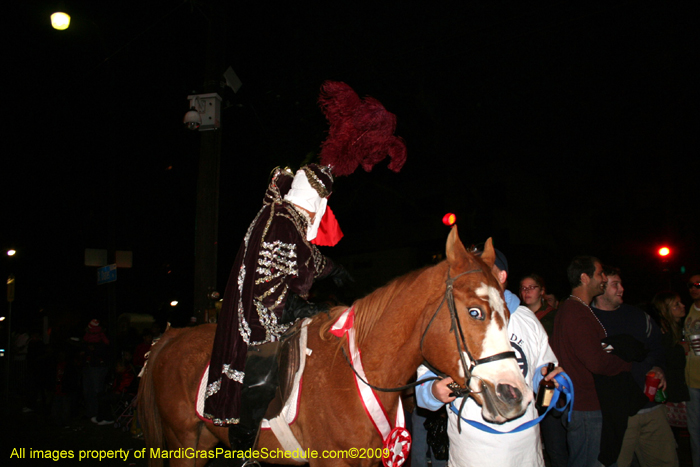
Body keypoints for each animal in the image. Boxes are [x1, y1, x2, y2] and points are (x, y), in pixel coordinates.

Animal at [138, 229, 532, 466]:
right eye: (475, 311)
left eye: (507, 310)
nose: (515, 394)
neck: (358, 372)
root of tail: (172, 337)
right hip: (183, 441)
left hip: (204, 439)